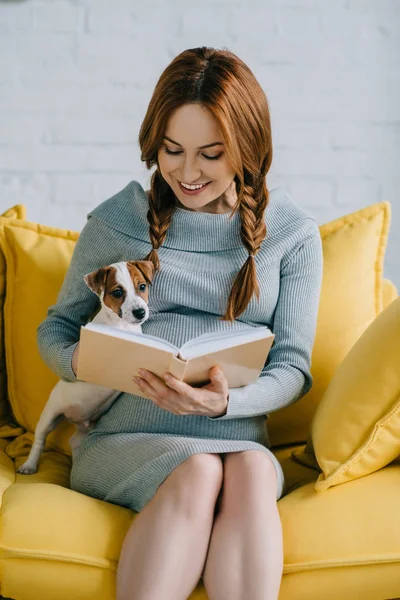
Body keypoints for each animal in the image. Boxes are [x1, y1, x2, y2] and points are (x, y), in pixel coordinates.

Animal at [16, 260, 153, 476]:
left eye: (142, 286)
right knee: (39, 440)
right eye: (117, 292)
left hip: (82, 431)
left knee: (73, 441)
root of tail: (78, 420)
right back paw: (29, 465)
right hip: (49, 416)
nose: (140, 312)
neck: (121, 326)